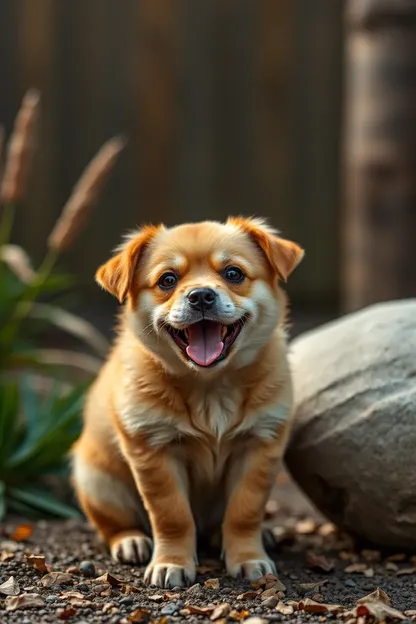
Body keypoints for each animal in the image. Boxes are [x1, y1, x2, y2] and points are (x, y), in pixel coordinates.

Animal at [72, 217, 302, 588]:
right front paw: (172, 563)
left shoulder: (259, 447)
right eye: (168, 280)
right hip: (98, 483)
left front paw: (248, 557)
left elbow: (244, 512)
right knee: (114, 525)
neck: (210, 385)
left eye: (234, 273)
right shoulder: (154, 451)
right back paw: (131, 541)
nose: (201, 295)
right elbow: (172, 516)